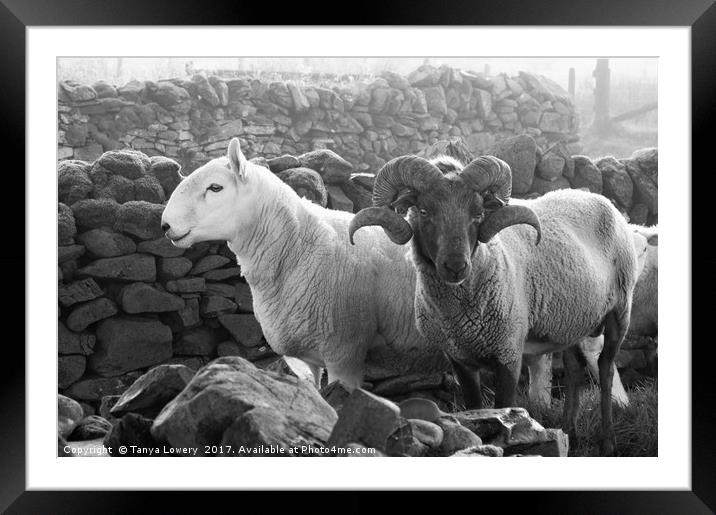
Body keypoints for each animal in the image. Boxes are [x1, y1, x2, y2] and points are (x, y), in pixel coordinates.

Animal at [350, 154, 636, 456]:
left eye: (477, 213)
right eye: (424, 211)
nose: (456, 266)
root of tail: (596, 197)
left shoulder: (508, 352)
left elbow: (505, 407)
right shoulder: (459, 359)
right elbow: (474, 408)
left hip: (621, 308)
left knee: (605, 367)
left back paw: (608, 442)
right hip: (571, 320)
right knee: (573, 367)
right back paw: (571, 431)